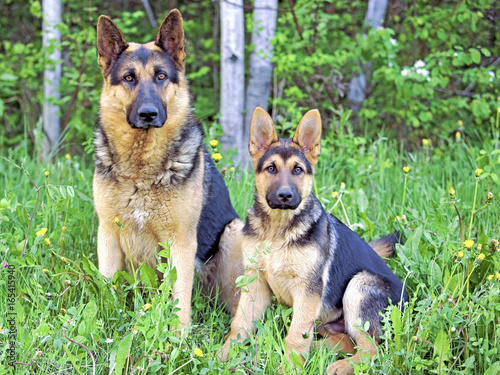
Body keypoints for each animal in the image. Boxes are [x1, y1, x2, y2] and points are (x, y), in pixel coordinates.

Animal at [94, 9, 244, 328]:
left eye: (161, 76)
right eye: (129, 78)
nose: (148, 114)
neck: (141, 172)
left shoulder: (181, 243)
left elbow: (179, 298)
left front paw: (179, 335)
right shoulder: (108, 234)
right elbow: (106, 286)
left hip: (234, 232)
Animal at [221, 107, 408, 374]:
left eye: (298, 169)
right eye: (271, 168)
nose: (285, 196)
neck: (277, 230)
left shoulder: (308, 291)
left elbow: (295, 337)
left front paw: (289, 367)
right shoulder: (255, 281)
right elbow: (240, 324)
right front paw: (225, 353)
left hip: (358, 286)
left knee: (372, 350)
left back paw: (339, 366)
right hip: (325, 317)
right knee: (346, 341)